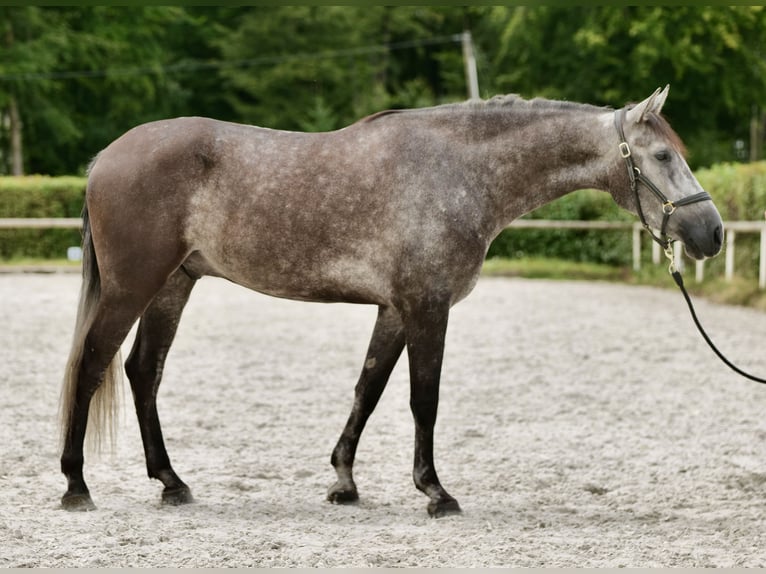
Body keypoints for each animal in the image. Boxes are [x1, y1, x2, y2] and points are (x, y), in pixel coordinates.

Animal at [60, 84, 728, 516]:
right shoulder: (428, 306)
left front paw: (344, 483)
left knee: (143, 372)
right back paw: (76, 486)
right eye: (663, 156)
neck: (458, 170)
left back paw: (171, 483)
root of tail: (104, 158)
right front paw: (435, 492)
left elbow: (368, 388)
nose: (712, 233)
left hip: (174, 285)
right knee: (92, 365)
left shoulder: (394, 309)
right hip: (133, 288)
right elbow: (422, 399)